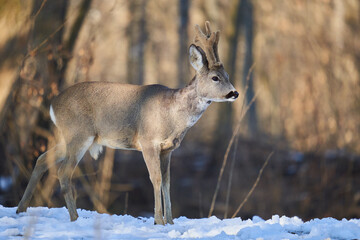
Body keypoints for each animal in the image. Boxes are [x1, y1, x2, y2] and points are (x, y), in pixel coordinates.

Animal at [16, 21, 238, 225]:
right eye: (215, 78)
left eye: (228, 76)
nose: (234, 93)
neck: (173, 116)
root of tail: (53, 105)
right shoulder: (148, 141)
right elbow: (156, 179)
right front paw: (159, 220)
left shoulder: (168, 149)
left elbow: (167, 182)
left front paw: (170, 221)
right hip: (79, 133)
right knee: (63, 172)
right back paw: (74, 217)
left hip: (69, 137)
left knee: (42, 159)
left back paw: (21, 208)